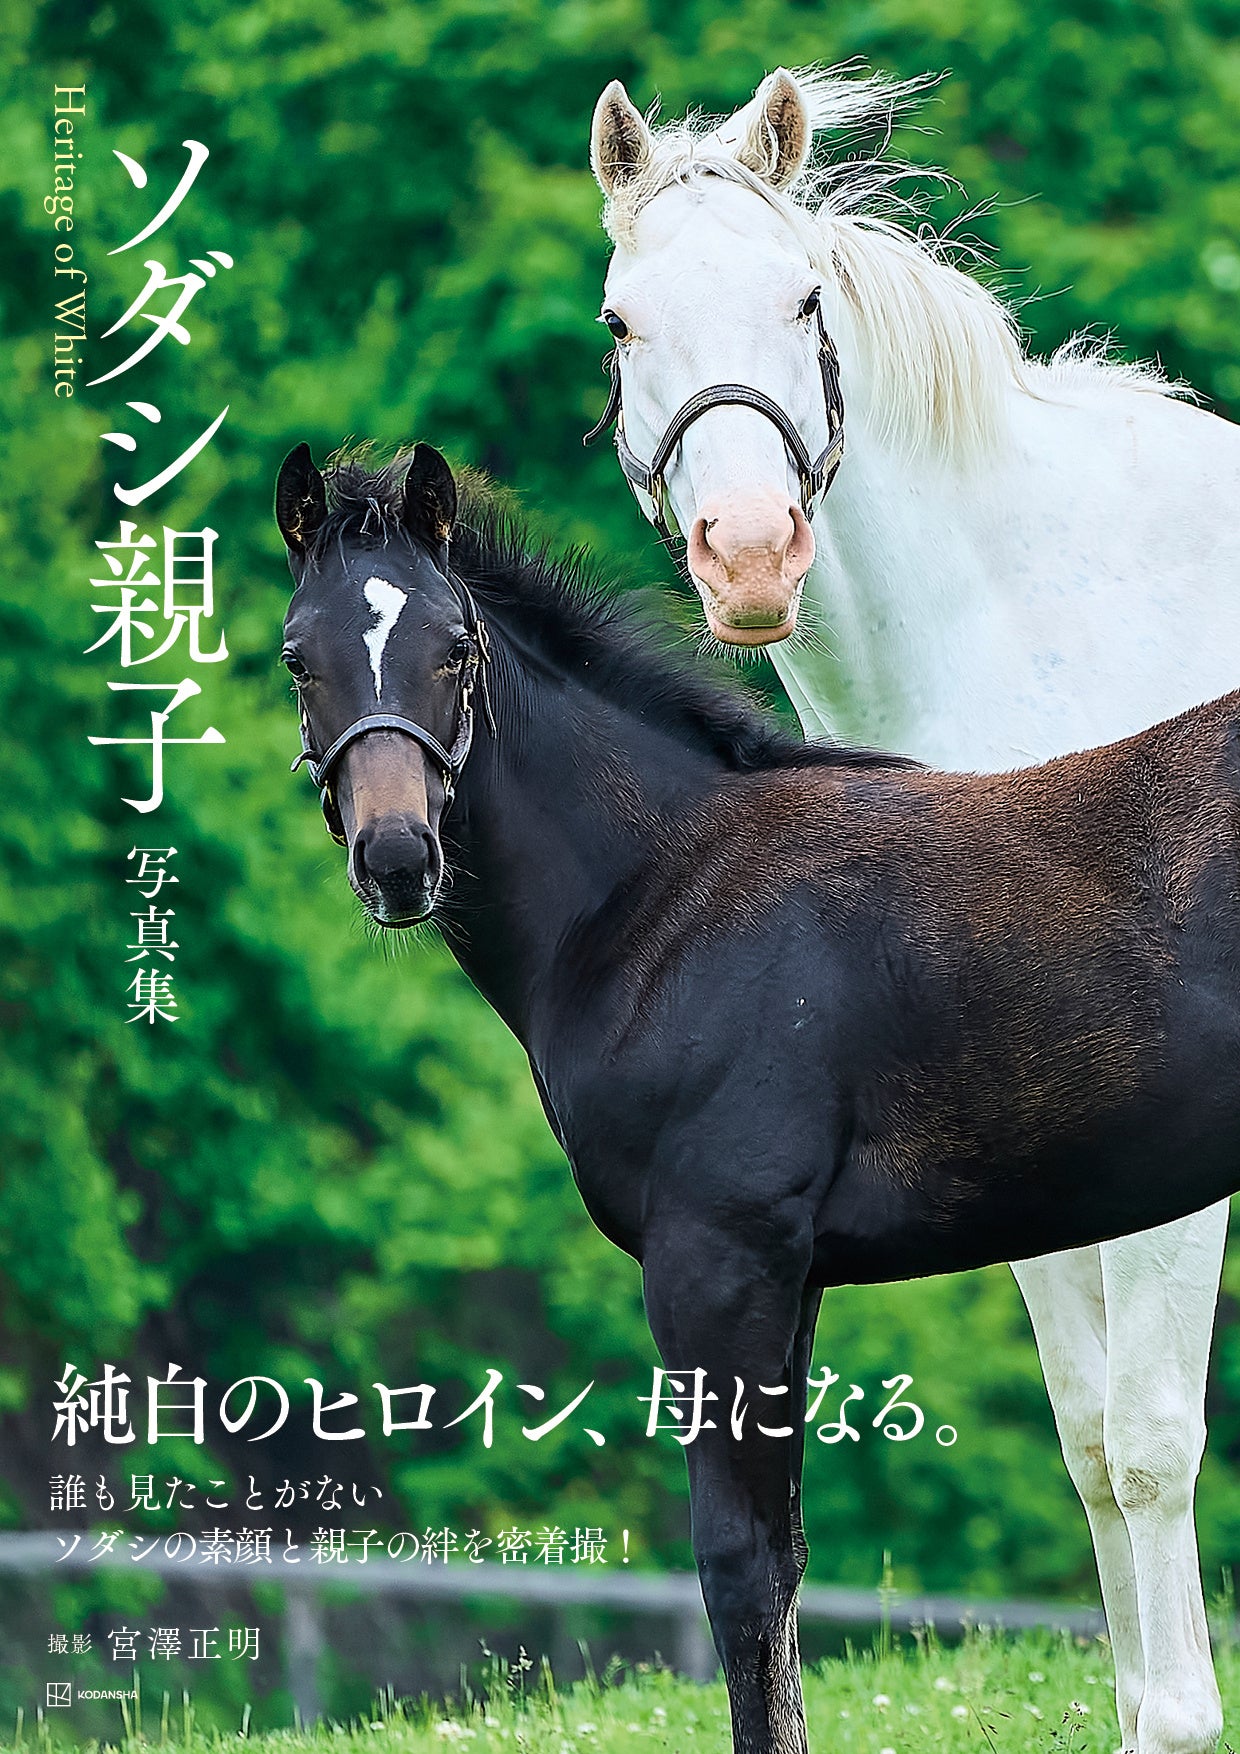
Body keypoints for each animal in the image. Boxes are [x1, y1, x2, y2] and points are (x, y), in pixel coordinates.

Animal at [276, 439, 1240, 1754]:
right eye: (298, 656)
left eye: (454, 647)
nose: (395, 860)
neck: (662, 891)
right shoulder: (789, 1270)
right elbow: (777, 1551)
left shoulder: (716, 1254)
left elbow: (740, 1563)